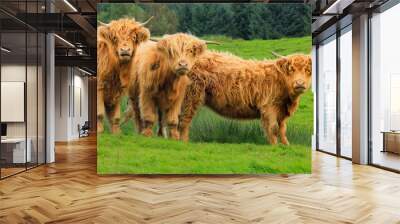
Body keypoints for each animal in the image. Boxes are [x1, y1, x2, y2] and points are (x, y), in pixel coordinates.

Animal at [178, 51, 312, 144]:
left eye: (308, 70)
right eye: (291, 69)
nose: (300, 83)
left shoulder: (281, 111)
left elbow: (282, 129)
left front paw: (286, 145)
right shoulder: (269, 107)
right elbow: (273, 128)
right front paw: (275, 145)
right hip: (191, 96)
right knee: (184, 119)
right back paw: (183, 142)